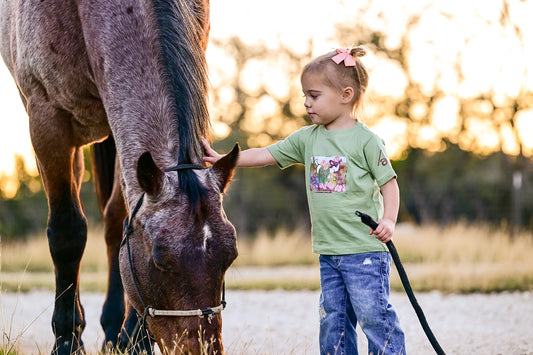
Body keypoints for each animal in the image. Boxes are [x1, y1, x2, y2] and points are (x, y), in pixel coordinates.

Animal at [0, 0, 237, 354]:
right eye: (159, 260)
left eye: (231, 256)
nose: (203, 349)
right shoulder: (47, 121)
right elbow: (67, 232)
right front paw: (67, 339)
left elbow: (121, 222)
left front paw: (136, 338)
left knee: (113, 222)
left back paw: (116, 330)